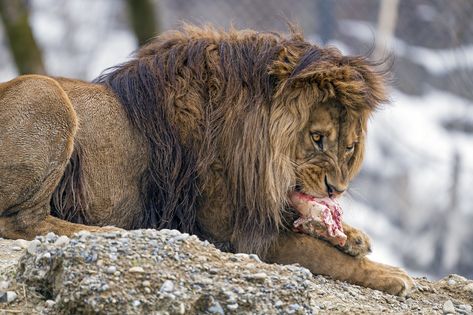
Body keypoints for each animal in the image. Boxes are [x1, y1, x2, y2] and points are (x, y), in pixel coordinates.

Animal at [0, 24, 412, 296]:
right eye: (317, 138)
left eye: (350, 147)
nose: (336, 189)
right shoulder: (240, 236)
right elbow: (325, 257)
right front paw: (393, 275)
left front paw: (354, 237)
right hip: (46, 92)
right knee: (22, 221)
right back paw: (113, 234)